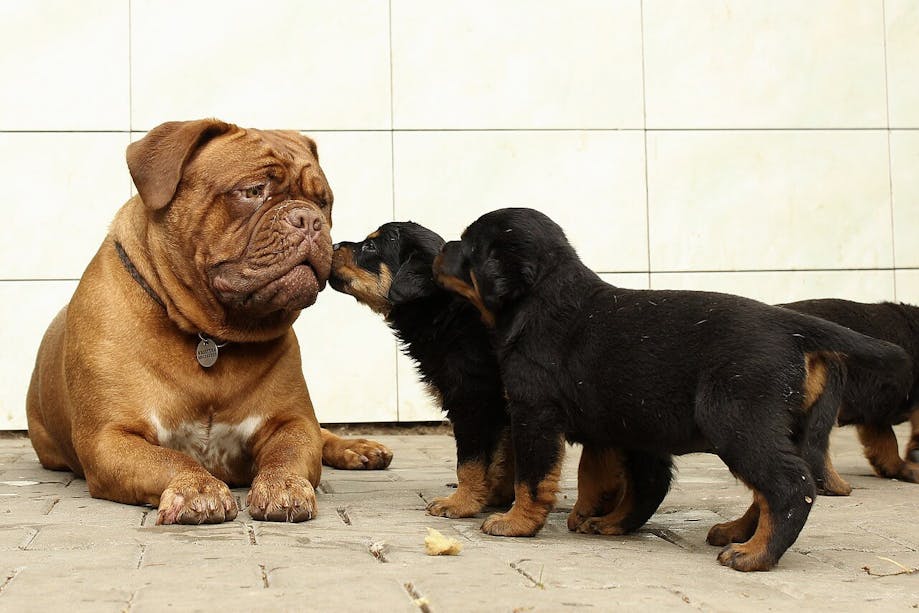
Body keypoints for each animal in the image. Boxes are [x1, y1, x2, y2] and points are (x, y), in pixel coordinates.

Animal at [25, 120, 392, 524]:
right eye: (253, 191)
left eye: (323, 202)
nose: (308, 219)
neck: (210, 335)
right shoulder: (111, 438)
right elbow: (169, 459)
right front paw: (197, 488)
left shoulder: (291, 421)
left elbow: (289, 452)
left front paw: (282, 485)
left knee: (323, 433)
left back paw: (357, 447)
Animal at [328, 221, 512, 516]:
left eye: (370, 246)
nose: (332, 244)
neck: (444, 311)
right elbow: (505, 459)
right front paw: (495, 497)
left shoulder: (473, 400)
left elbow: (471, 462)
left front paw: (461, 503)